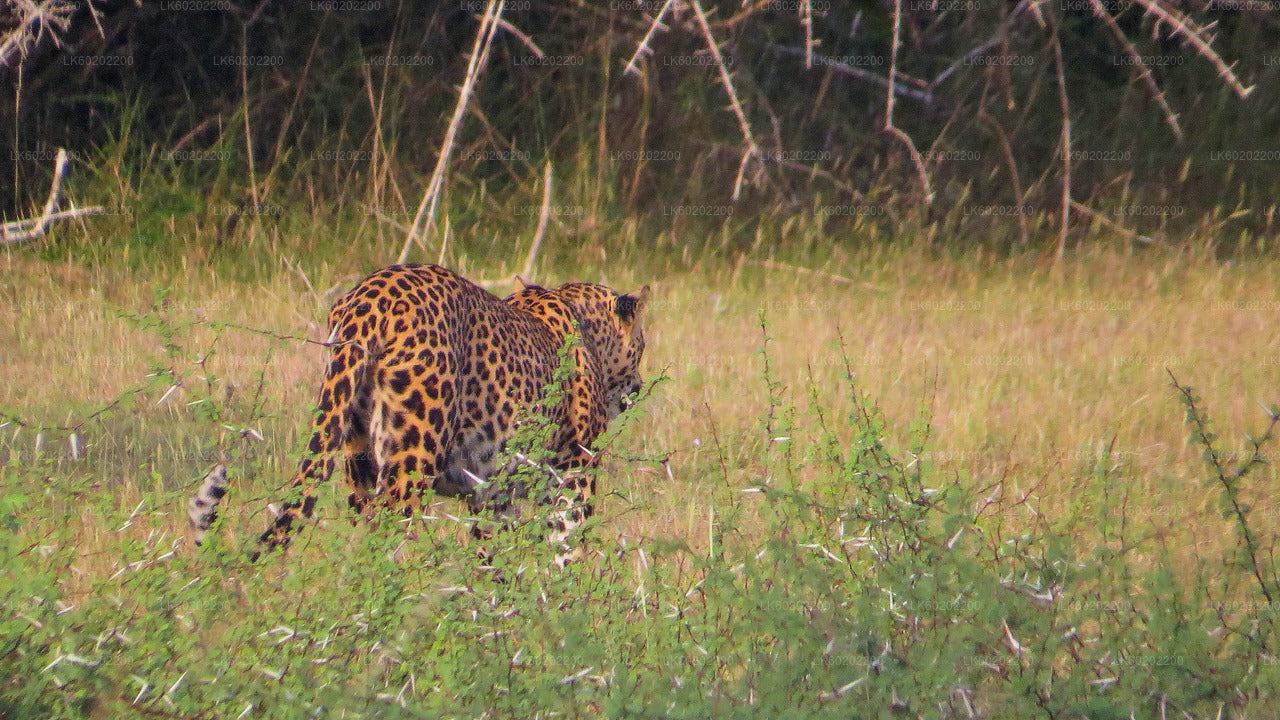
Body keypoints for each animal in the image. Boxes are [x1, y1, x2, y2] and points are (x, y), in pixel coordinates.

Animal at [186, 263, 650, 561]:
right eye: (643, 345)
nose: (639, 385)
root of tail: (368, 298)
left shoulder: (492, 494)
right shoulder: (576, 472)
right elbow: (567, 548)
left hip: (357, 457)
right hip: (413, 457)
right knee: (388, 542)